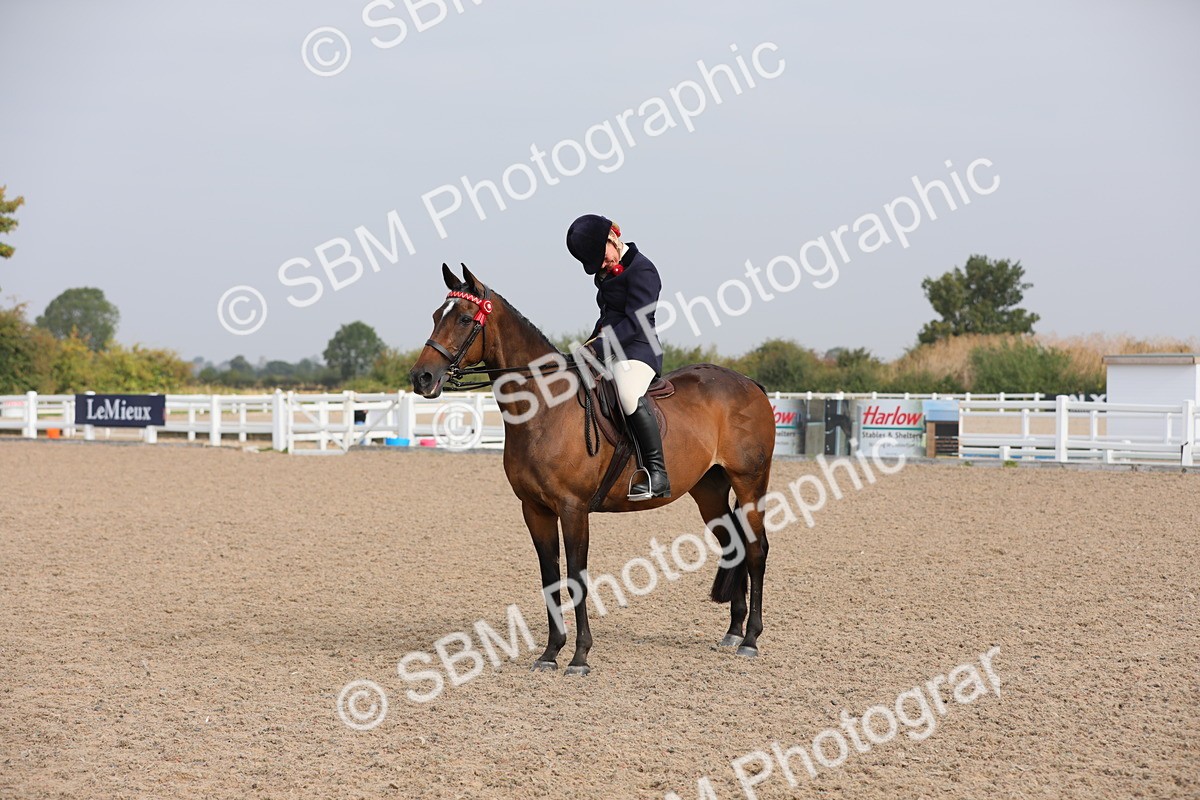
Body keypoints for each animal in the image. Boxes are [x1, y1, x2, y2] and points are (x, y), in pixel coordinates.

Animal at [409, 264, 776, 675]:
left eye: (464, 318)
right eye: (436, 316)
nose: (421, 377)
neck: (544, 408)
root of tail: (750, 385)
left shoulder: (573, 509)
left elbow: (577, 577)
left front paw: (580, 656)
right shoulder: (534, 510)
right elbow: (550, 578)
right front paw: (550, 653)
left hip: (750, 483)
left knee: (756, 548)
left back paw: (750, 639)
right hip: (709, 490)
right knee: (734, 545)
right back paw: (732, 631)